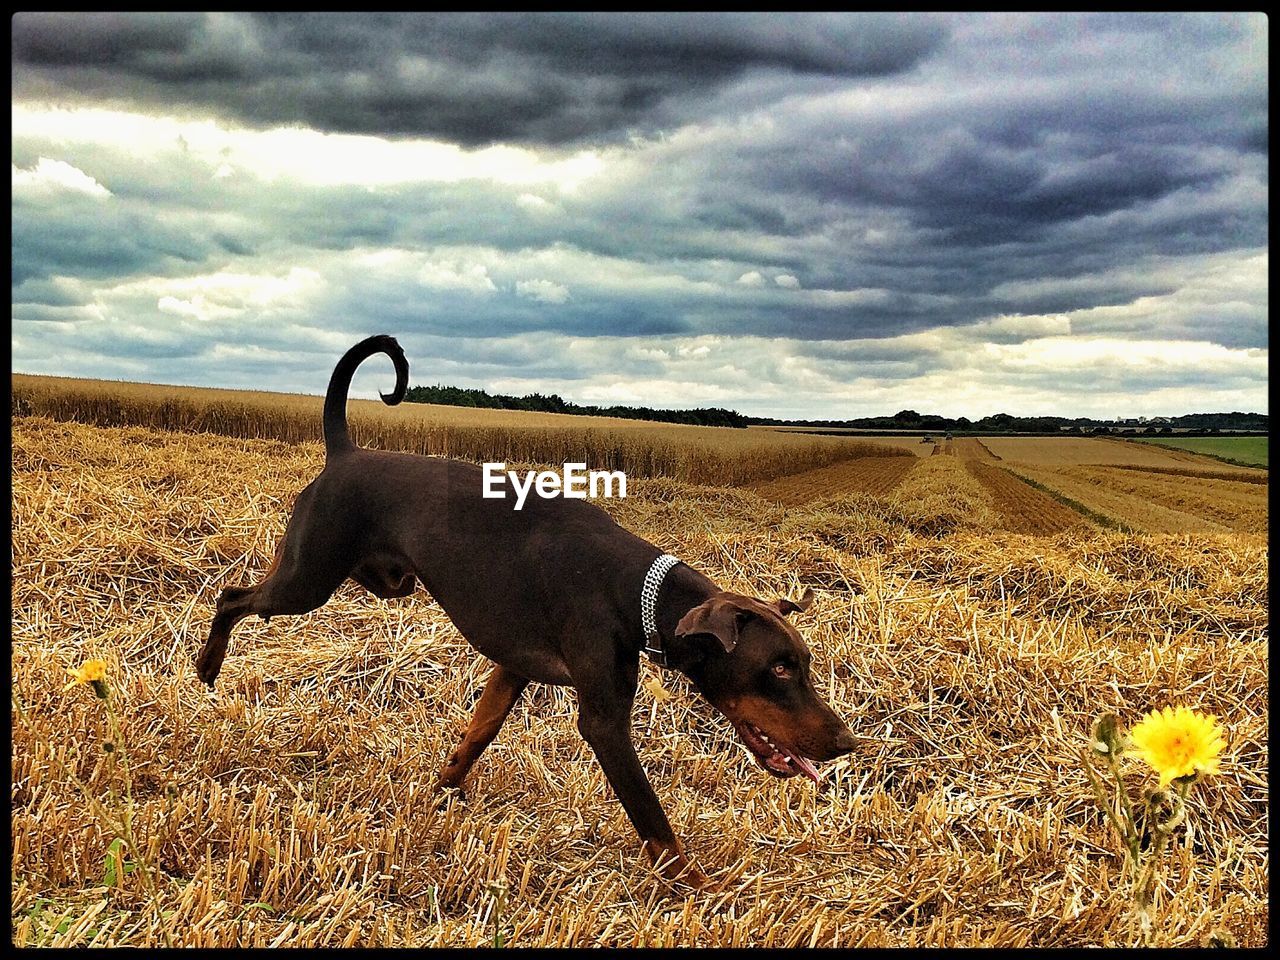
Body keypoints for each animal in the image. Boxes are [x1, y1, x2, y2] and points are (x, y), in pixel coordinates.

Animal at [197, 335, 849, 885]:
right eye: (779, 668)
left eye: (805, 665)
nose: (846, 743)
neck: (633, 589)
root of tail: (344, 454)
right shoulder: (603, 722)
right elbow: (655, 824)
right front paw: (699, 890)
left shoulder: (512, 667)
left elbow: (477, 734)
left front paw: (442, 791)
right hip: (306, 579)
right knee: (232, 598)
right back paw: (206, 665)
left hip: (382, 582)